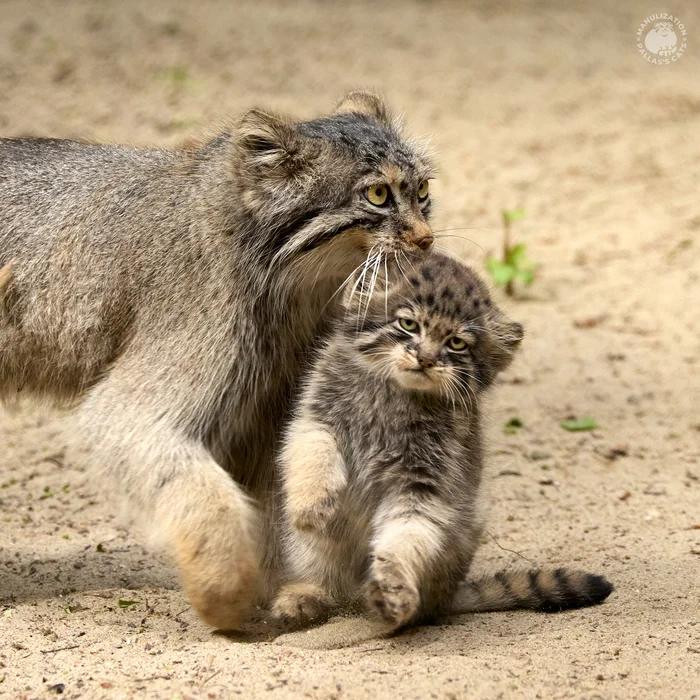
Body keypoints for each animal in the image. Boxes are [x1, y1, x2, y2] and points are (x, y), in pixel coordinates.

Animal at [270, 253, 608, 628]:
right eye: (408, 324)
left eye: (456, 343)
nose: (426, 359)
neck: (394, 396)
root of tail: (448, 597)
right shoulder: (316, 417)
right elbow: (312, 453)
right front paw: (311, 505)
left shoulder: (423, 484)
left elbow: (405, 539)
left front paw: (393, 589)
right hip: (312, 550)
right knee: (325, 576)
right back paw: (305, 595)